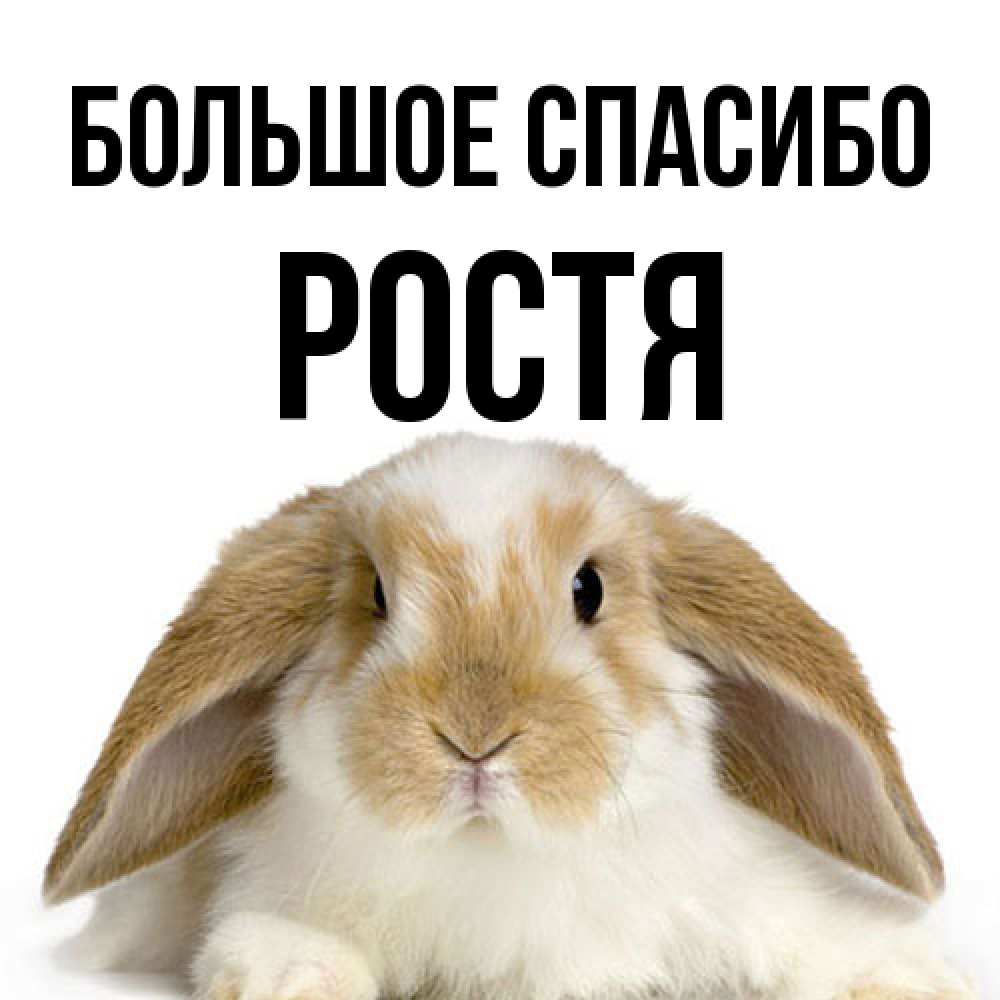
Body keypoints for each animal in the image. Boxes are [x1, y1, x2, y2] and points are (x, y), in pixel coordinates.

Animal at [45, 434, 975, 1000]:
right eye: (376, 595)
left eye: (589, 589)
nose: (475, 737)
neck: (495, 857)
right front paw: (292, 976)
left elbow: (816, 938)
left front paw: (910, 977)